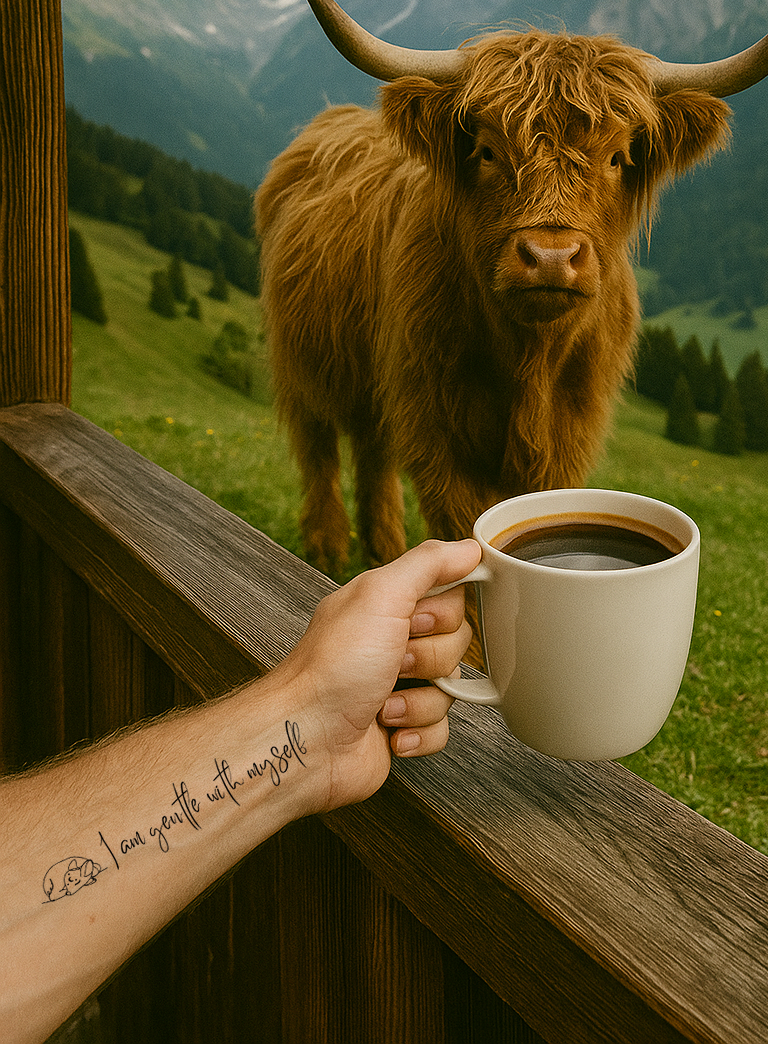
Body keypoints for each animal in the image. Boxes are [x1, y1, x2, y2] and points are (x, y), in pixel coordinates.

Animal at [256, 0, 768, 578]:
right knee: (318, 443)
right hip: (303, 361)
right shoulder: (436, 426)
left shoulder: (569, 431)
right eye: (485, 151)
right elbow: (462, 527)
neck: (530, 362)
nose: (551, 258)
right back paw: (327, 546)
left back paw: (384, 547)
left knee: (372, 448)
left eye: (618, 158)